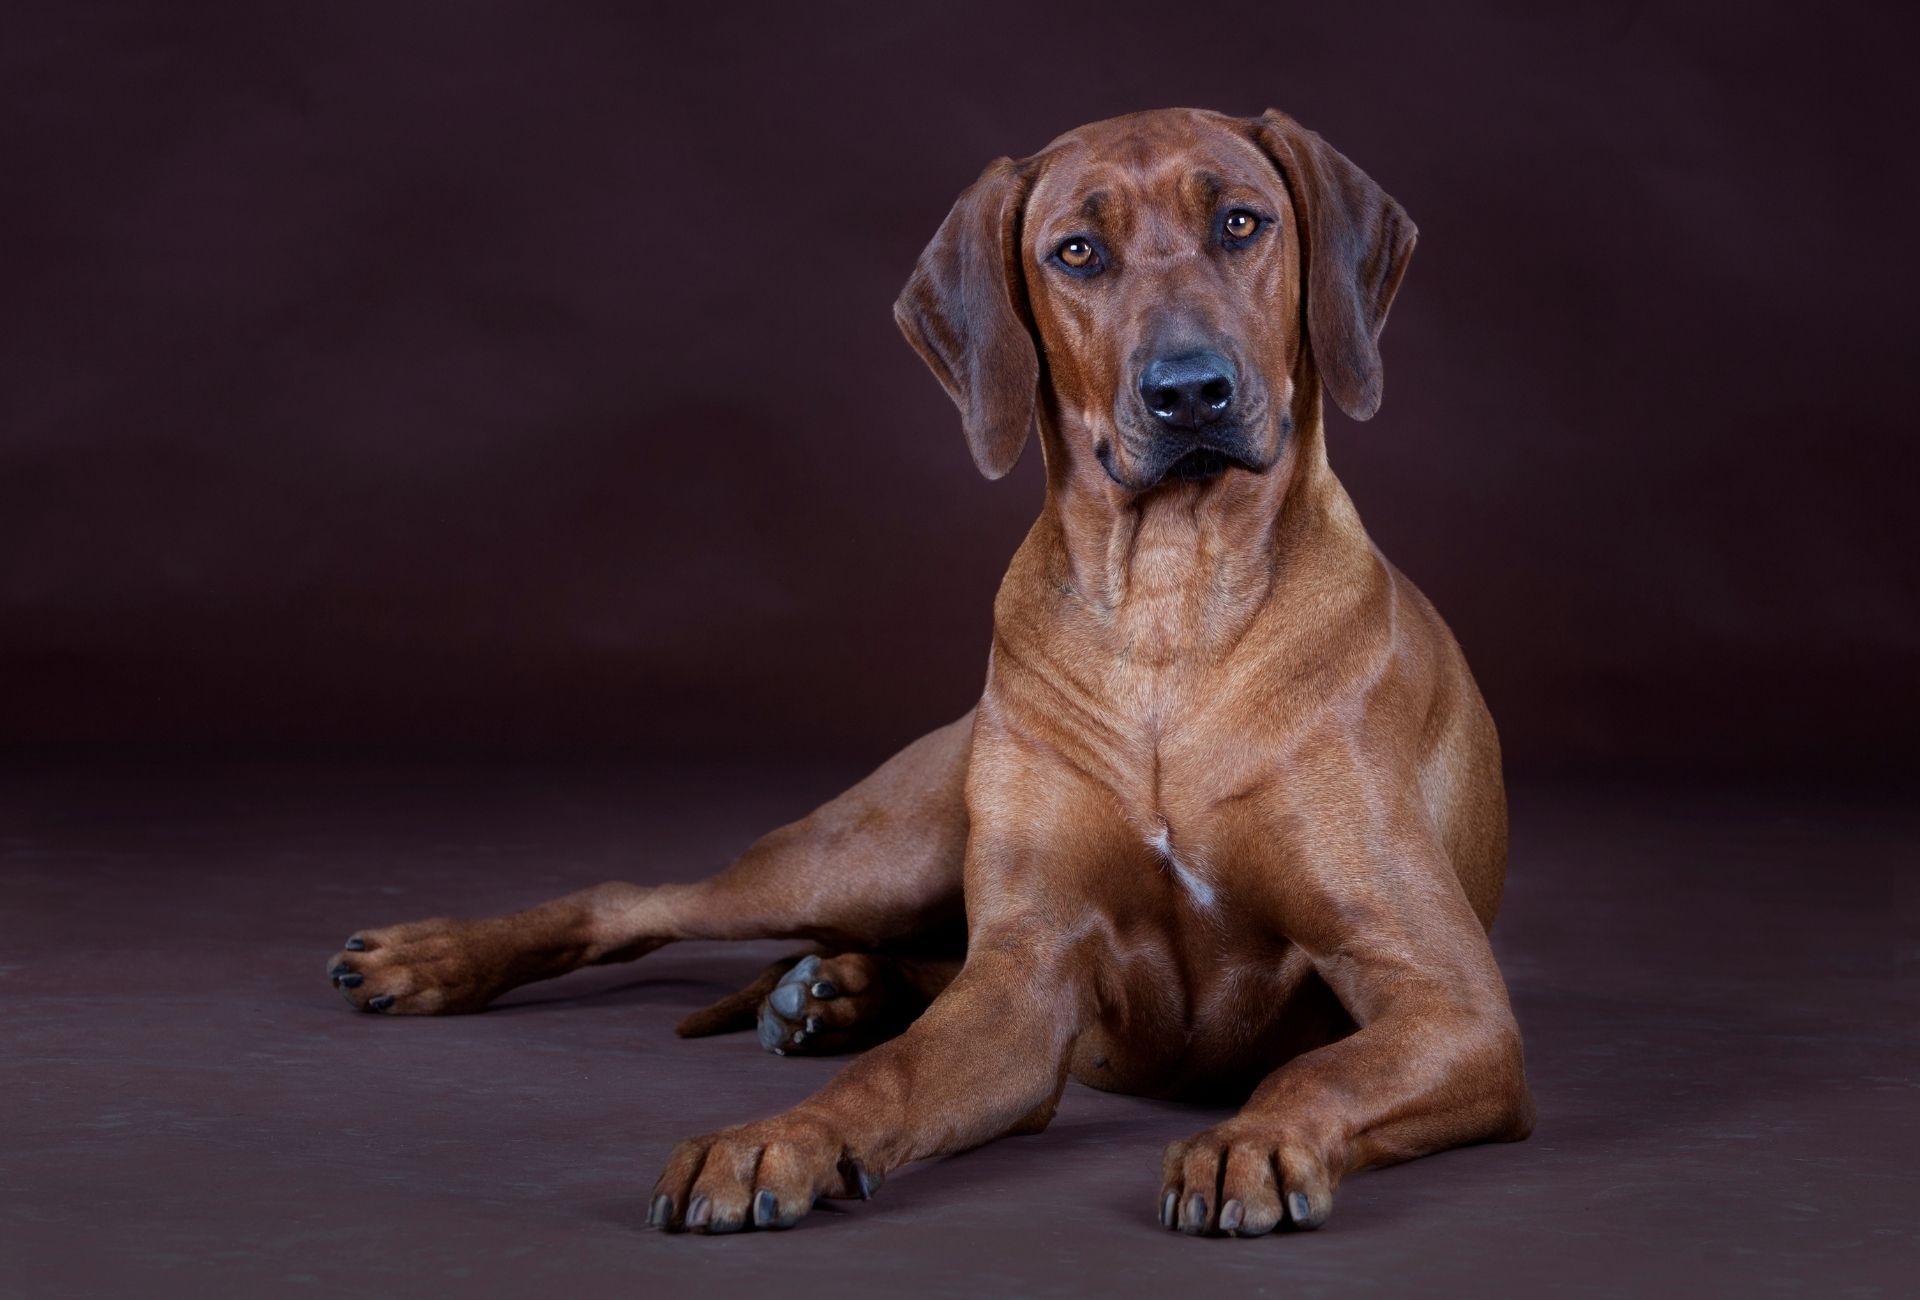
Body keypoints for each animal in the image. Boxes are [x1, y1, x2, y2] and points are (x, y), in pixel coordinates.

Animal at [326, 106, 1528, 1228]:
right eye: (1077, 252)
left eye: (1241, 222)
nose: (1190, 390)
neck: (1169, 614)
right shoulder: (1027, 972)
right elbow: (893, 1077)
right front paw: (777, 1138)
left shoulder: (1451, 1002)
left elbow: (1316, 1067)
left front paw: (1255, 1139)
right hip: (866, 851)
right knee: (641, 898)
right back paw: (436, 960)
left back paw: (833, 992)